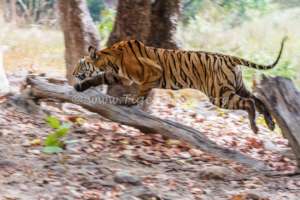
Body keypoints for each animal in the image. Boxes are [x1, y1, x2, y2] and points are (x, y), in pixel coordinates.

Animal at [71, 38, 288, 134]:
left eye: (80, 64)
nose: (72, 74)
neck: (109, 59)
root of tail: (228, 57)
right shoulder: (118, 76)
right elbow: (97, 79)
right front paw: (80, 87)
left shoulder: (152, 72)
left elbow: (141, 92)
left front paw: (129, 102)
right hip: (236, 87)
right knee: (257, 99)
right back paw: (269, 123)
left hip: (219, 95)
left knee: (249, 103)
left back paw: (255, 127)